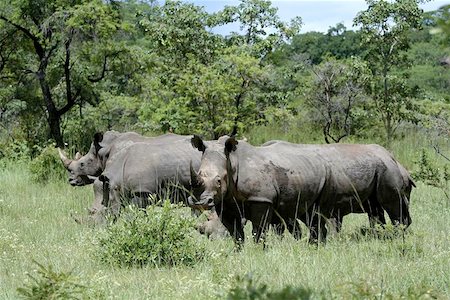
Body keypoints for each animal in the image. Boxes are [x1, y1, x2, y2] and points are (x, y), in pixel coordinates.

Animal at [188, 136, 414, 244]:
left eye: (219, 180)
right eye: (198, 176)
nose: (204, 202)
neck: (232, 162)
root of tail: (393, 157)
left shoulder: (262, 199)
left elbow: (259, 231)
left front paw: (260, 251)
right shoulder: (227, 203)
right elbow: (237, 234)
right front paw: (240, 253)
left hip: (387, 170)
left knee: (392, 205)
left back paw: (399, 237)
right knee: (370, 209)